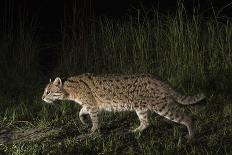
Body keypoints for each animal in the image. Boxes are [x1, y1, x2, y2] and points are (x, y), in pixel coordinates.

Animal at [41, 73, 205, 139]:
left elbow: (95, 120)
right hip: (141, 108)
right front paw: (83, 120)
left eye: (48, 91)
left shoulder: (92, 106)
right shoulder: (90, 105)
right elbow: (80, 112)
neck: (69, 88)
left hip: (161, 106)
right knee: (146, 122)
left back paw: (191, 136)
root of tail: (160, 80)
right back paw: (134, 131)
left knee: (186, 117)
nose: (42, 98)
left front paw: (93, 130)